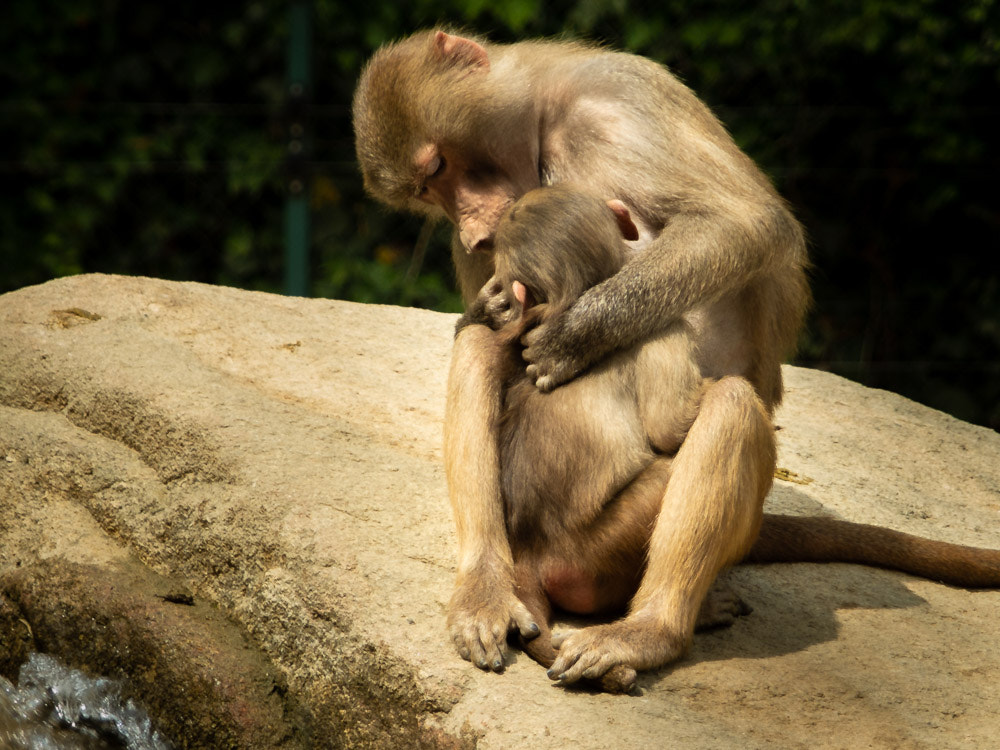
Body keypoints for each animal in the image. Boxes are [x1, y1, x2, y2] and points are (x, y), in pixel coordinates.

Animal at [352, 29, 1000, 688]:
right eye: (428, 190)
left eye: (437, 167)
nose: (475, 233)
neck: (539, 118)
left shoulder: (618, 101)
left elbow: (743, 222)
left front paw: (576, 335)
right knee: (499, 345)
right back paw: (530, 600)